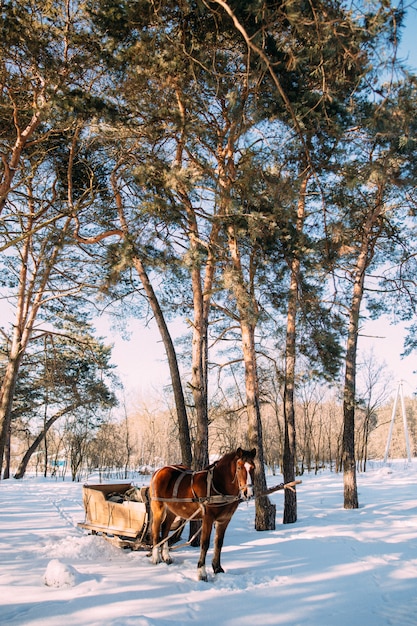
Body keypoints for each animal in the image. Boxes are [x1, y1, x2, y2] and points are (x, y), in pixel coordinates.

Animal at [148, 446, 255, 576]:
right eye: (239, 467)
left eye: (253, 468)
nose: (248, 493)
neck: (218, 485)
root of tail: (159, 470)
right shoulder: (208, 518)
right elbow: (205, 543)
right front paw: (201, 572)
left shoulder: (224, 520)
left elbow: (219, 543)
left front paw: (217, 568)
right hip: (158, 508)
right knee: (156, 529)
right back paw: (155, 557)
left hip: (171, 510)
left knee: (165, 529)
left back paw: (166, 556)